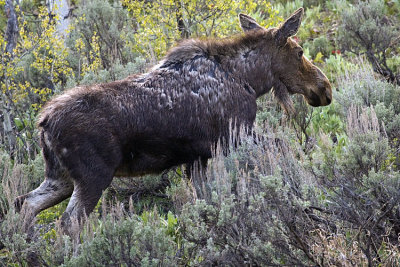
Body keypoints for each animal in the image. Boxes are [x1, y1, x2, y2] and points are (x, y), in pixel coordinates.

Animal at [14, 8, 332, 230]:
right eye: (299, 51)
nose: (324, 88)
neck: (251, 80)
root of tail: (43, 124)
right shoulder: (235, 135)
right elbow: (283, 147)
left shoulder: (198, 157)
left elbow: (206, 201)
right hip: (93, 175)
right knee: (67, 223)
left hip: (60, 176)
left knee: (25, 204)